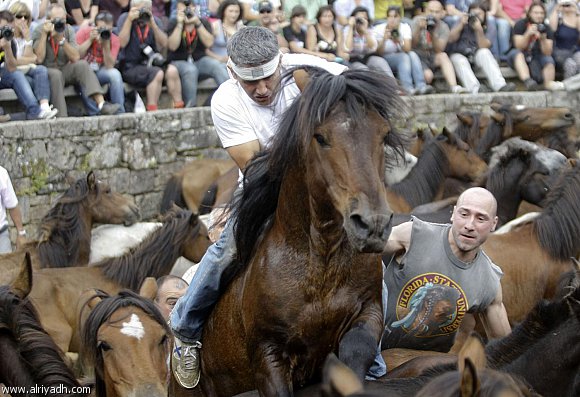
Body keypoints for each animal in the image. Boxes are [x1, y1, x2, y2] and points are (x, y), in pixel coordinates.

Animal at [197, 69, 410, 394]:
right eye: (320, 137)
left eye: (384, 135)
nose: (372, 224)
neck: (321, 262)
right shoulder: (268, 353)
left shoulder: (368, 312)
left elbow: (357, 349)